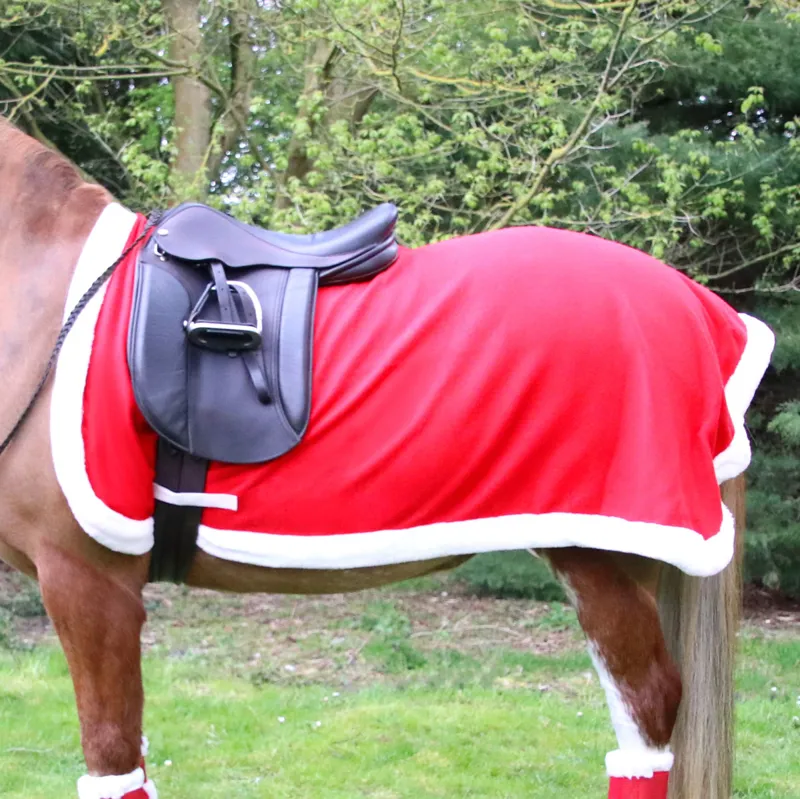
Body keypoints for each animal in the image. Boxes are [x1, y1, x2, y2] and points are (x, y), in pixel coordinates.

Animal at [0, 116, 773, 799]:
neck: (41, 292)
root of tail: (702, 306)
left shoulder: (89, 580)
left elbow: (111, 762)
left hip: (598, 553)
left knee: (645, 721)